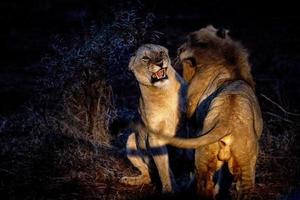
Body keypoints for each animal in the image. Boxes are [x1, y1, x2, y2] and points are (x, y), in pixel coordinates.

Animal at [119, 43, 185, 192]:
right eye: (145, 58)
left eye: (161, 52)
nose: (160, 63)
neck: (163, 92)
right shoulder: (155, 137)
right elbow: (163, 169)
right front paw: (169, 190)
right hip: (131, 140)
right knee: (147, 174)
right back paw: (128, 181)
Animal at [157, 25, 262, 199]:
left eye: (190, 40)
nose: (178, 50)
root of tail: (226, 122)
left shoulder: (191, 115)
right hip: (244, 164)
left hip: (206, 158)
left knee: (206, 185)